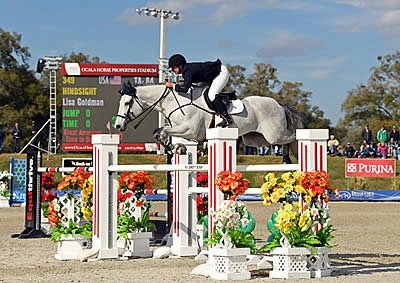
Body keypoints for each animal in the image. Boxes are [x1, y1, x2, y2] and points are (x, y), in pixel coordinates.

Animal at [114, 81, 304, 163]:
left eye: (127, 103)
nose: (118, 125)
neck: (175, 101)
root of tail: (279, 104)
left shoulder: (191, 130)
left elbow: (164, 131)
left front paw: (175, 147)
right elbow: (160, 132)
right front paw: (175, 147)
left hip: (274, 135)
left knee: (293, 137)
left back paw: (289, 155)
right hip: (257, 139)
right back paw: (286, 159)